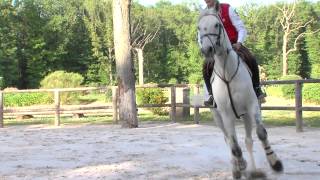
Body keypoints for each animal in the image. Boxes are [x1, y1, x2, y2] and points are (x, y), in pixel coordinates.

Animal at [199, 8, 284, 179]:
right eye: (199, 28)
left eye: (217, 25)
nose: (206, 50)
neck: (227, 72)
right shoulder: (225, 115)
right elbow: (234, 145)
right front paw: (241, 166)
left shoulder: (252, 106)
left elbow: (261, 133)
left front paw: (275, 162)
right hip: (218, 117)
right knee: (229, 140)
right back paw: (237, 167)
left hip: (246, 115)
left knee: (248, 140)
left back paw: (254, 170)